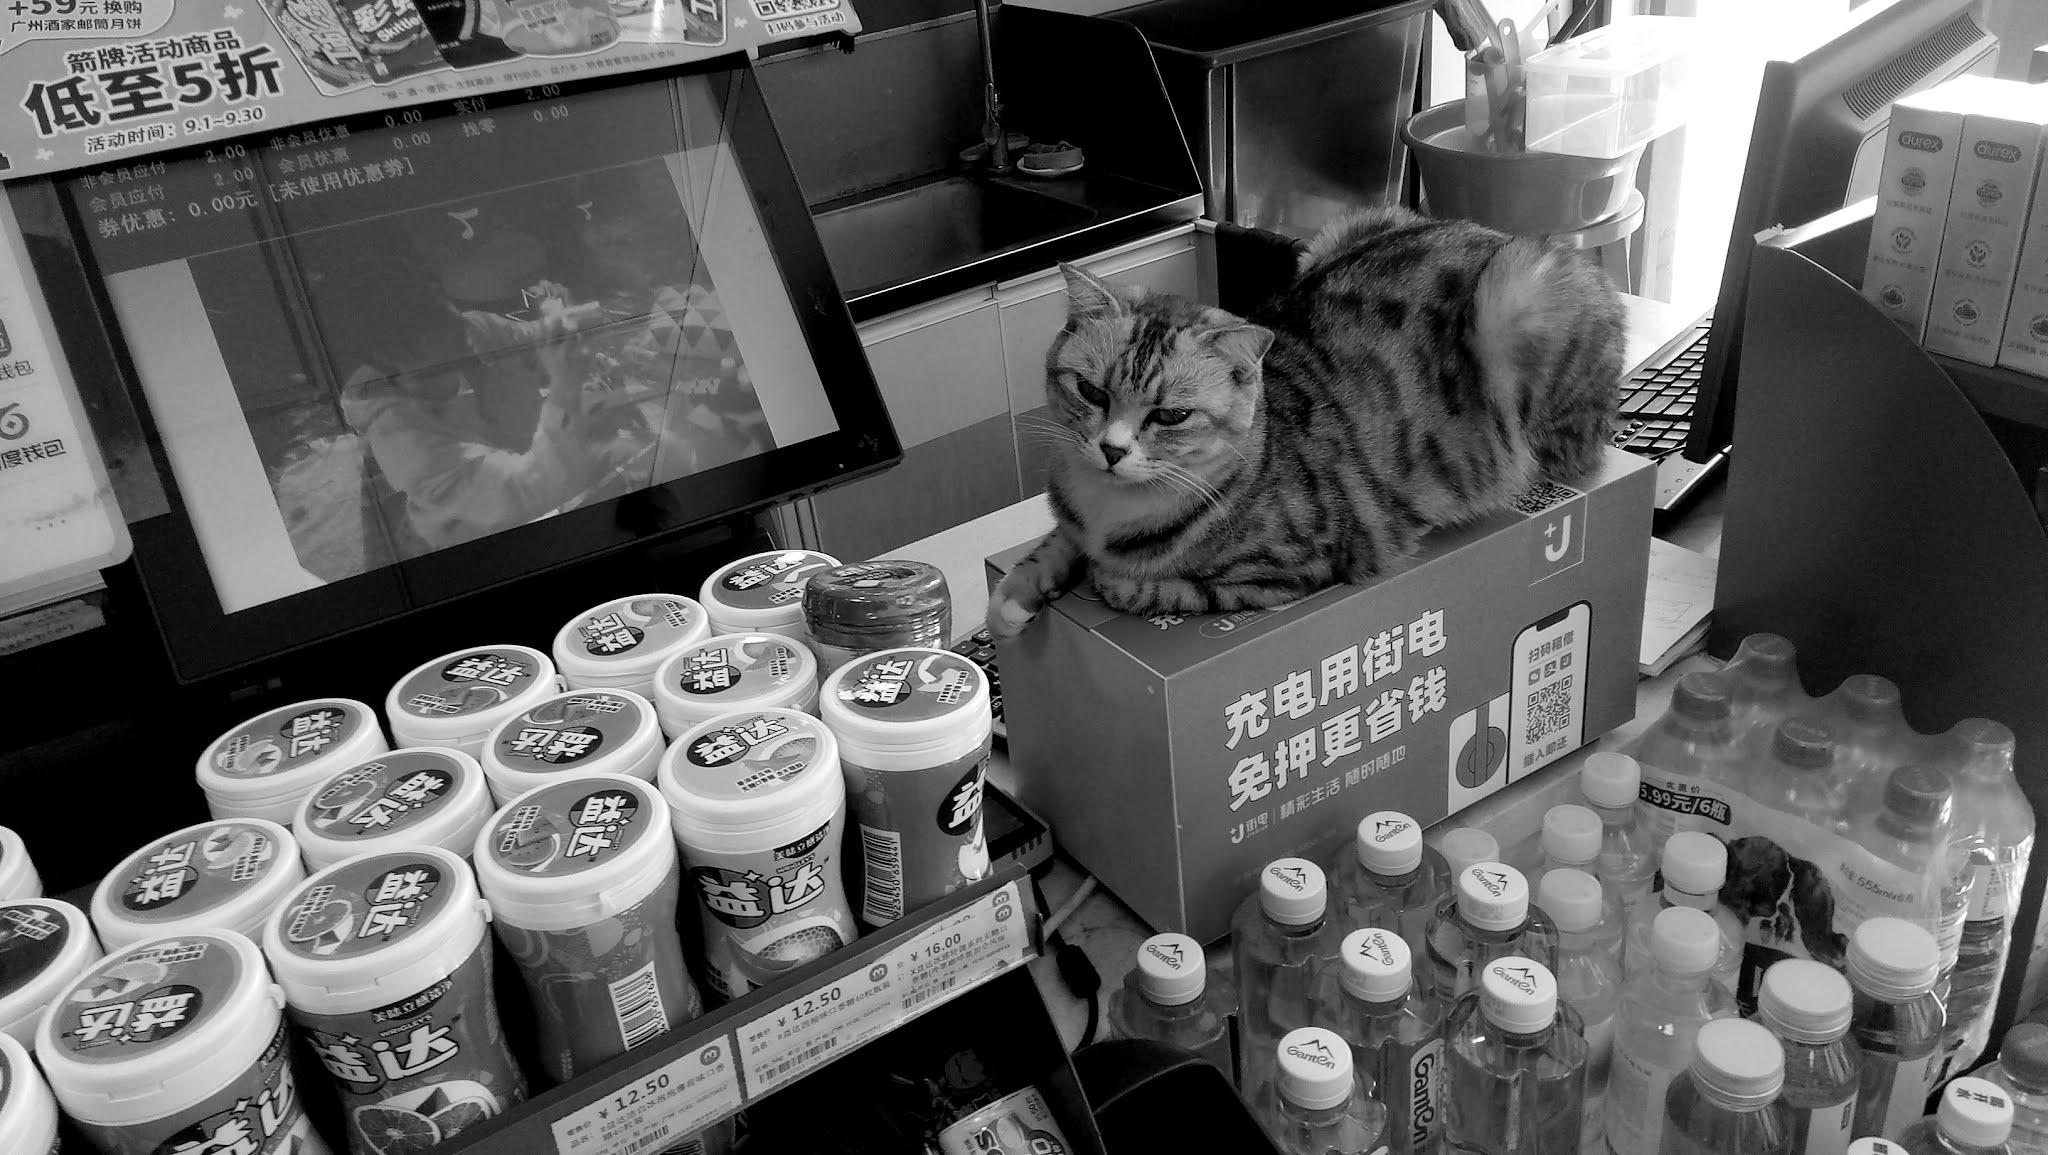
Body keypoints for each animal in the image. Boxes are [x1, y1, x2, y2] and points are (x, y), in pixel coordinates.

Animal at [990, 206, 1625, 639]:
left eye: (1171, 415)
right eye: (1091, 391)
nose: (1111, 450)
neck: (1111, 509)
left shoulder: (1295, 569)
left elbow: (1155, 587)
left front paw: (1106, 580)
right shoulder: (1072, 511)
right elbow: (1050, 543)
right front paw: (1011, 600)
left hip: (1518, 302)